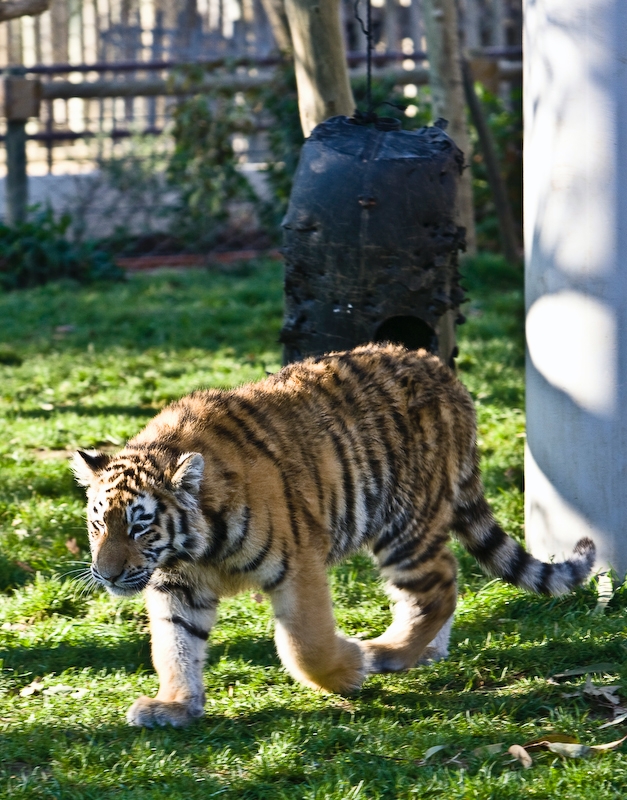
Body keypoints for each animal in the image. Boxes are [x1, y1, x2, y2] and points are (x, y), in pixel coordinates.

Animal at [72, 343, 595, 728]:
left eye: (140, 526)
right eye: (98, 524)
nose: (106, 574)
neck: (194, 550)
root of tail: (442, 372)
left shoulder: (296, 562)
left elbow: (306, 644)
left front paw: (348, 669)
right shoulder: (176, 586)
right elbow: (174, 645)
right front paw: (175, 705)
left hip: (403, 525)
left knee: (440, 586)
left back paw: (386, 653)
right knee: (438, 587)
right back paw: (422, 651)